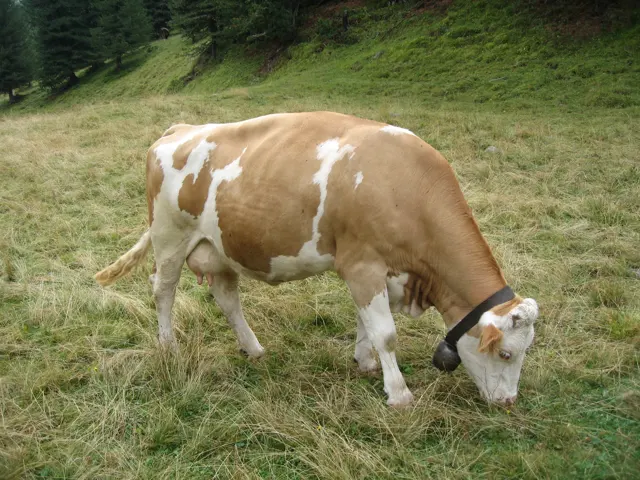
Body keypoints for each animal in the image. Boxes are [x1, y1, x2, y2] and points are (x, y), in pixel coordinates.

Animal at [95, 111, 539, 407]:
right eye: (506, 353)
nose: (508, 402)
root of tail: (181, 128)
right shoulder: (361, 264)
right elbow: (386, 333)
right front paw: (399, 394)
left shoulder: (378, 272)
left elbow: (366, 323)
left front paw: (365, 362)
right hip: (169, 236)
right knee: (163, 290)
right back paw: (168, 347)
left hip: (219, 247)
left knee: (226, 297)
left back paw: (253, 348)